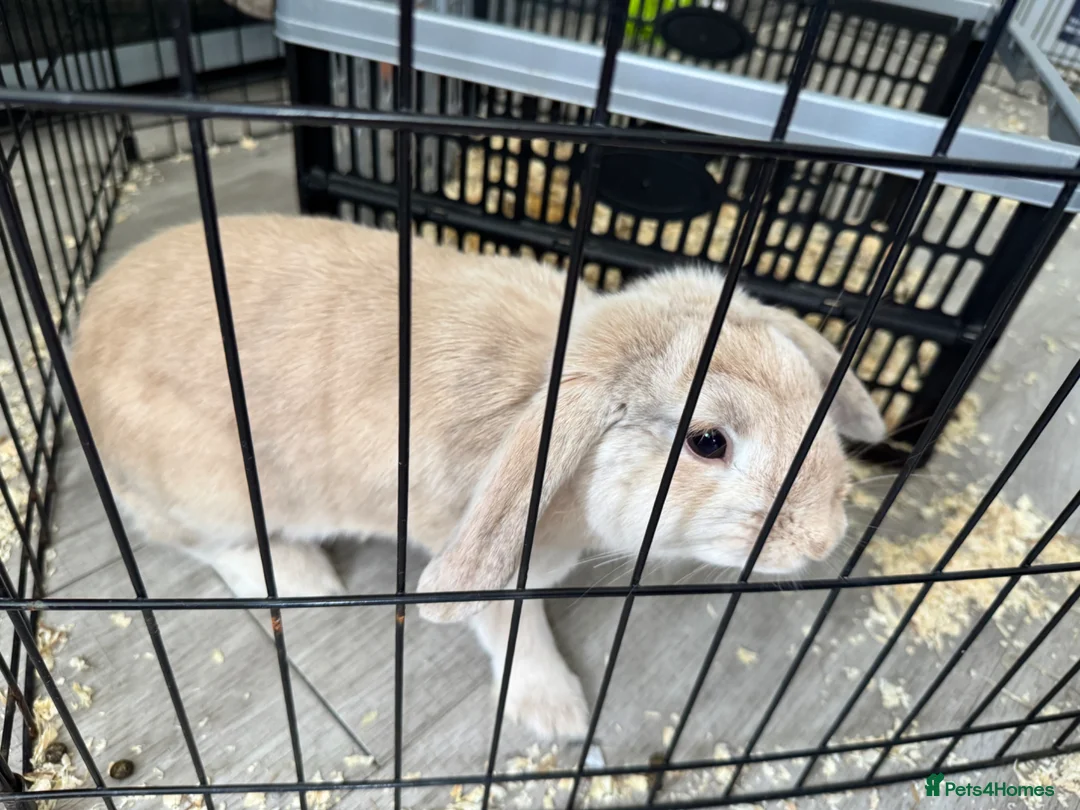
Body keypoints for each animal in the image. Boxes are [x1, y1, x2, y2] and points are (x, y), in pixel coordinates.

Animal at [68, 213, 886, 739]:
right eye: (708, 442)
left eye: (809, 393)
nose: (824, 538)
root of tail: (77, 350)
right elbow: (508, 627)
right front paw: (557, 714)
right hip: (216, 494)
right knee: (213, 546)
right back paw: (306, 581)